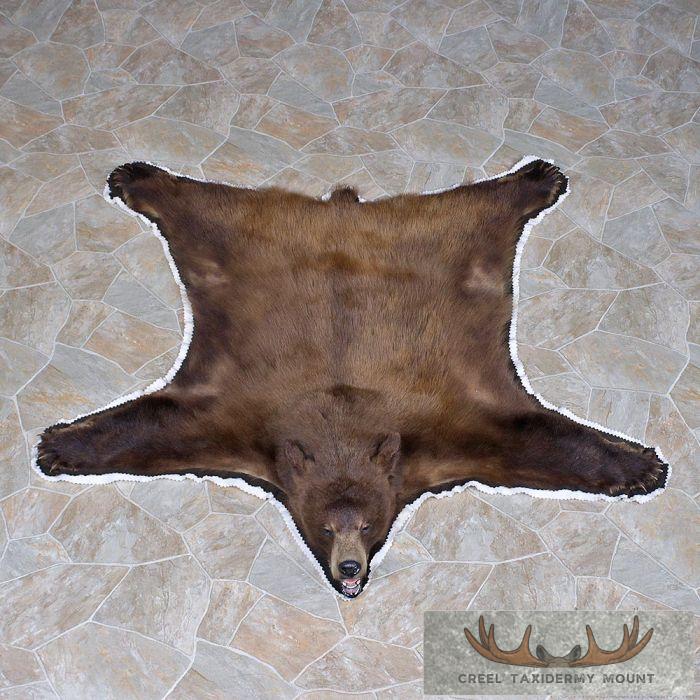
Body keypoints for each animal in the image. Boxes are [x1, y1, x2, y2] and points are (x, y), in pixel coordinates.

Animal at [36, 160, 668, 597]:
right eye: (324, 529)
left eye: (367, 526)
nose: (349, 568)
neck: (343, 423)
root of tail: (343, 211)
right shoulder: (236, 413)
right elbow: (161, 424)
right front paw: (59, 445)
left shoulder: (451, 421)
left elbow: (529, 434)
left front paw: (641, 466)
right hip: (239, 244)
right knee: (202, 208)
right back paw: (138, 177)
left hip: (446, 238)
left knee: (479, 205)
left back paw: (536, 178)